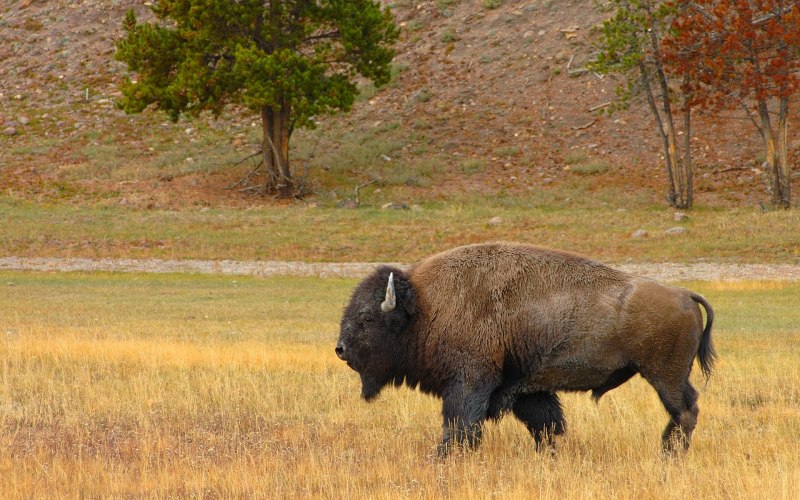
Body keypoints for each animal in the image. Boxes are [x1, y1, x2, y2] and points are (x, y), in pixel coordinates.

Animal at [335, 243, 715, 456]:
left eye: (367, 318)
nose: (340, 349)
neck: (426, 305)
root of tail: (683, 293)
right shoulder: (525, 389)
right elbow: (545, 425)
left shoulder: (469, 382)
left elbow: (460, 425)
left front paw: (441, 457)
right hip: (669, 375)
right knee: (687, 409)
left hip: (664, 376)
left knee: (685, 410)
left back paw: (669, 453)